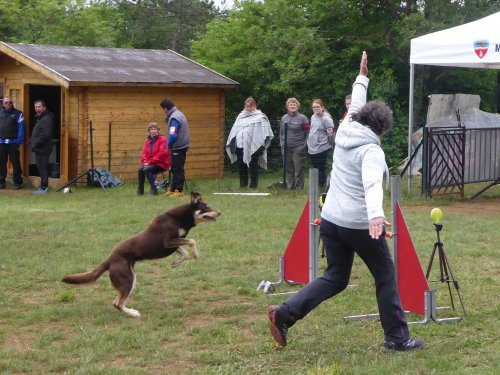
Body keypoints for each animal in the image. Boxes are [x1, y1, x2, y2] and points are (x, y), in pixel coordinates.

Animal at [61, 192, 221, 318]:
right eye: (207, 207)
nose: (219, 213)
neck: (180, 218)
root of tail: (109, 259)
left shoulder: (173, 245)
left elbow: (185, 252)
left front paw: (175, 263)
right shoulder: (168, 242)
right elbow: (192, 242)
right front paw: (196, 254)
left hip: (131, 280)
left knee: (116, 302)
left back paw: (130, 311)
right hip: (127, 280)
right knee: (118, 304)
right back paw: (134, 314)